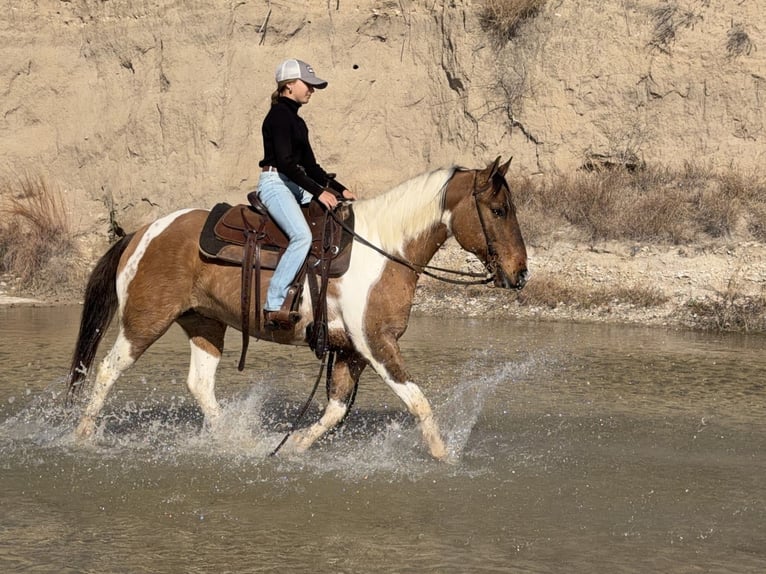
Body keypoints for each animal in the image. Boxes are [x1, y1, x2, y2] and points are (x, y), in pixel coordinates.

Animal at [65, 157, 528, 460]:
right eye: (499, 210)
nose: (520, 273)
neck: (384, 248)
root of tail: (144, 230)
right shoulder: (376, 343)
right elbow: (418, 403)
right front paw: (443, 457)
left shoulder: (350, 351)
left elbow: (335, 410)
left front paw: (294, 446)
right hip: (145, 321)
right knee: (106, 370)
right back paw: (82, 436)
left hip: (205, 324)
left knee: (199, 384)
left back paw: (233, 442)